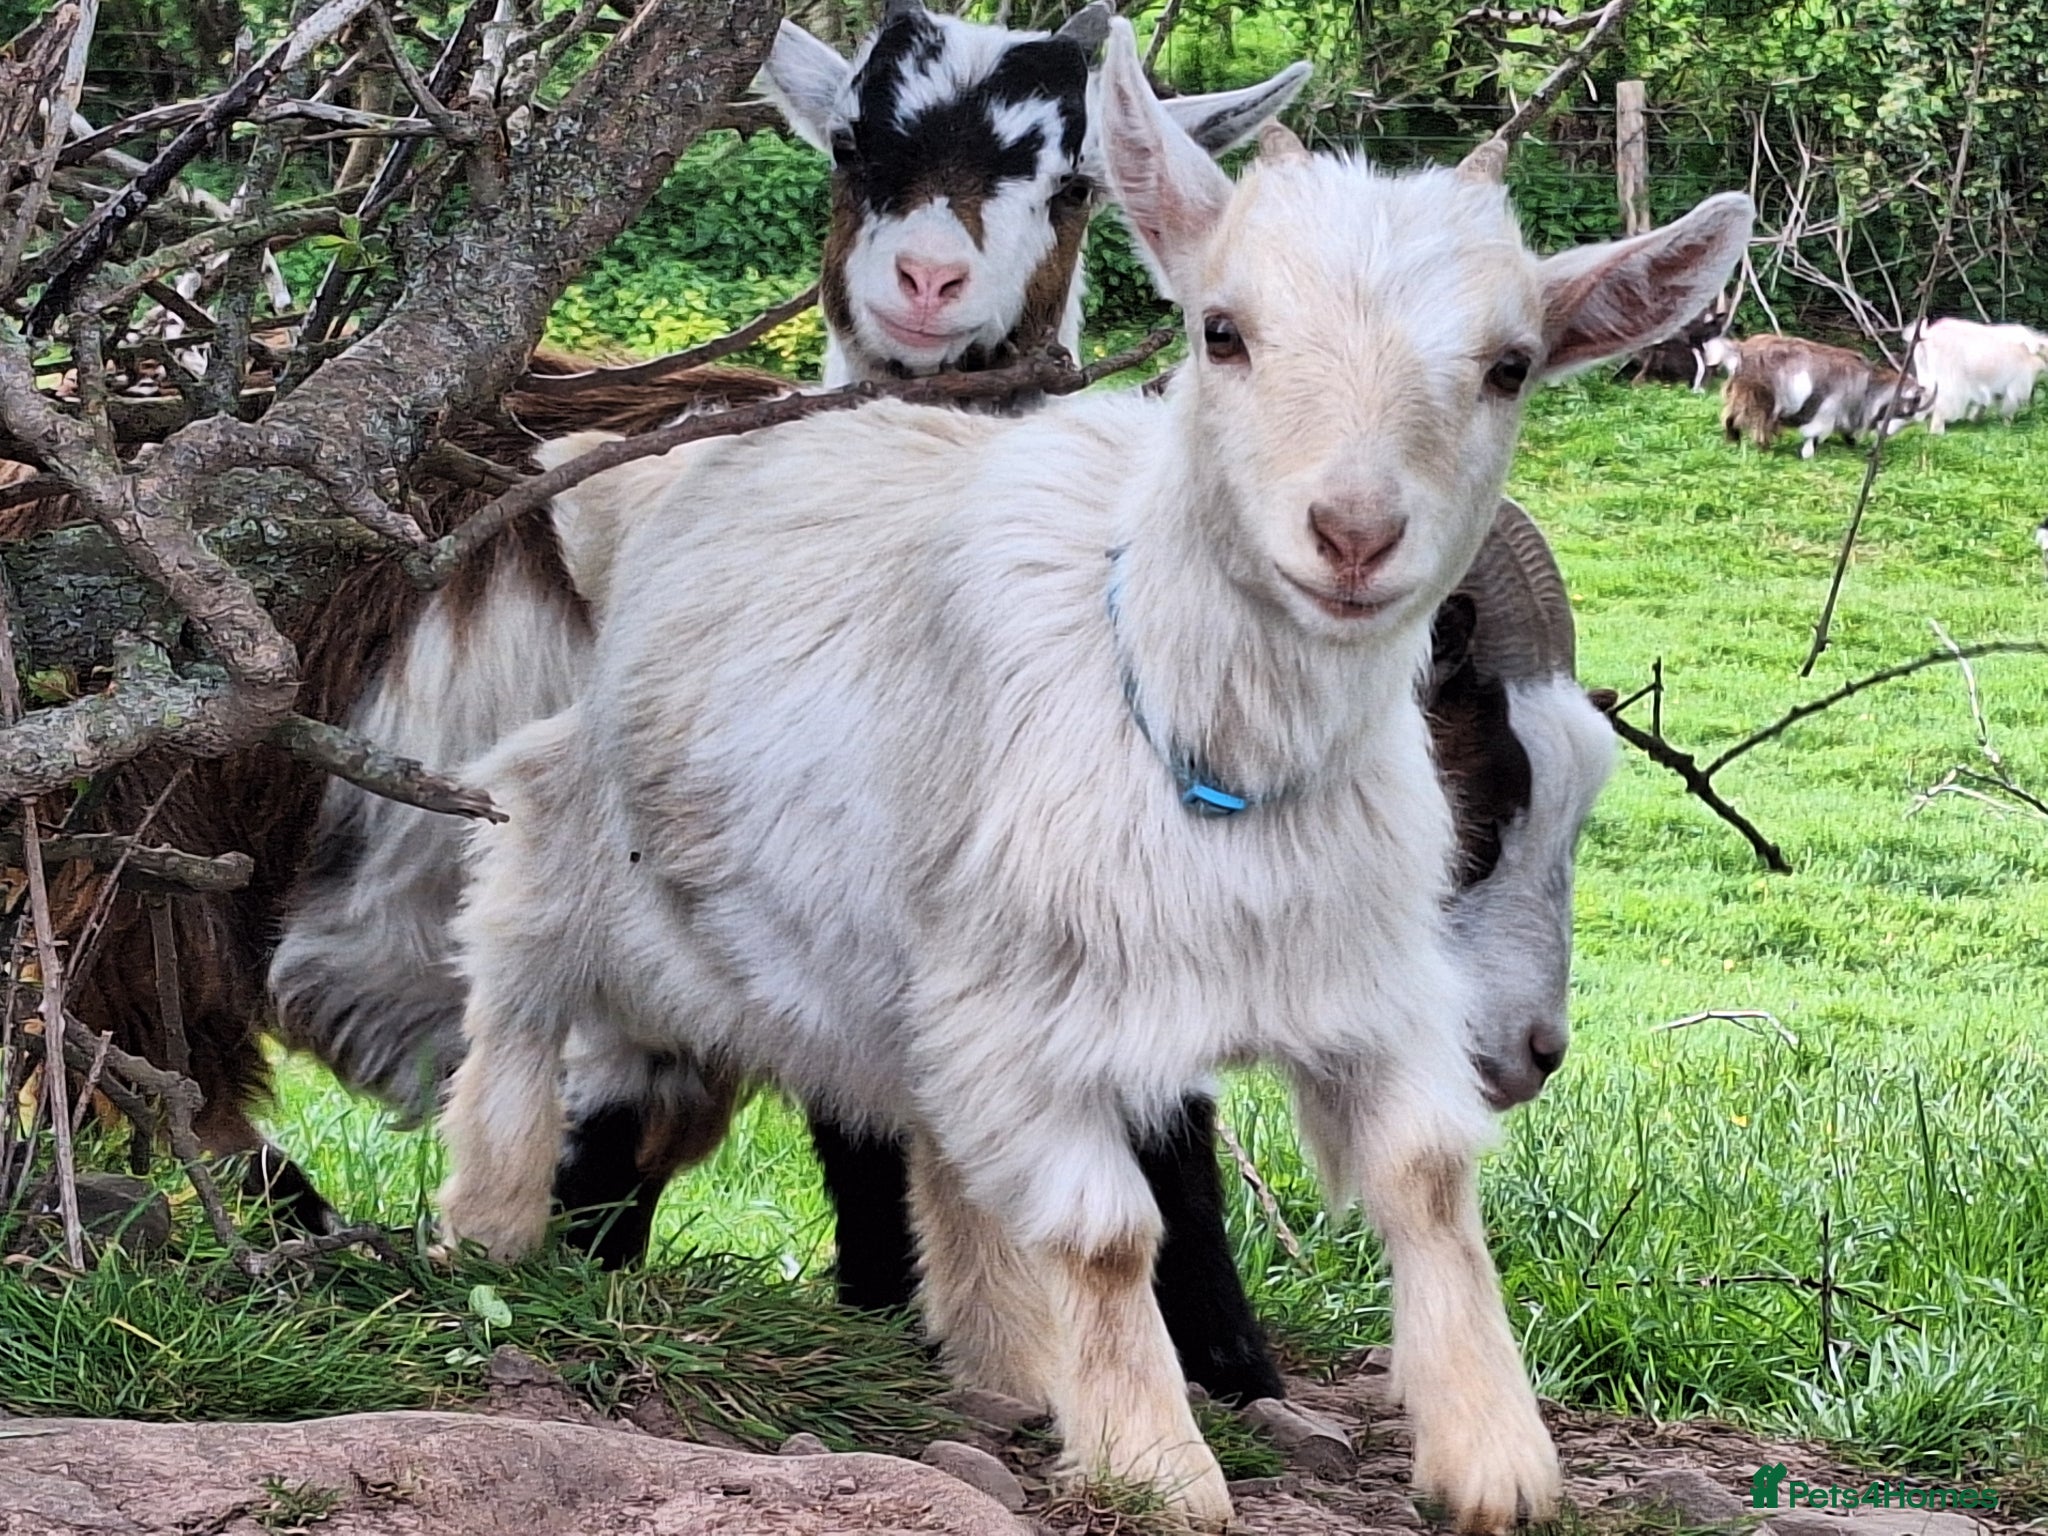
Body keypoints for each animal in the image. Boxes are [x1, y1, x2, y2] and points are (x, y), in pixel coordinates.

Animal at [436, 28, 1750, 1523]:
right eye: (1221, 330)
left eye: (1512, 366)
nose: (1355, 535)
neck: (1210, 751)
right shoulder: (1048, 1005)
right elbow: (1114, 1229)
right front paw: (1157, 1465)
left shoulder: (1352, 978)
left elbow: (1421, 1177)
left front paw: (1495, 1458)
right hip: (582, 837)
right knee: (521, 999)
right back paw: (487, 1226)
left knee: (921, 1125)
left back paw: (1002, 1360)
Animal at [1720, 333, 1929, 458]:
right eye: (1905, 410)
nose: (1886, 435)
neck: (1868, 386)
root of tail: (1741, 351)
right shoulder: (1829, 409)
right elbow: (1815, 433)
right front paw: (1808, 454)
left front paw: (1851, 442)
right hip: (1763, 399)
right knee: (1760, 423)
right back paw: (1764, 448)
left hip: (1741, 394)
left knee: (1730, 417)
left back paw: (1734, 440)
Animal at [1909, 317, 2048, 434]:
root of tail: (1927, 337)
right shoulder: (2017, 384)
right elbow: (2009, 407)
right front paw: (2007, 425)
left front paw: (1976, 419)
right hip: (1949, 382)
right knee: (1941, 406)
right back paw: (1937, 432)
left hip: (1927, 378)